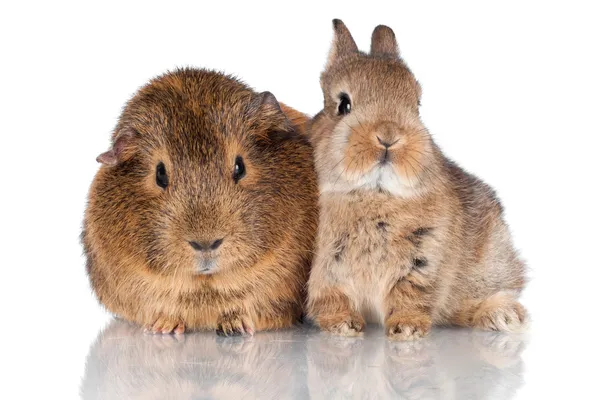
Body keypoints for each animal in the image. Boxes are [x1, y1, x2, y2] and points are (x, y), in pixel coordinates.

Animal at [308, 20, 528, 340]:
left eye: (417, 105)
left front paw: (407, 329)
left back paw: (503, 316)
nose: (389, 136)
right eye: (343, 105)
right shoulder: (325, 268)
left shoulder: (423, 260)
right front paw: (344, 326)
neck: (375, 194)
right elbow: (332, 297)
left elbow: (412, 294)